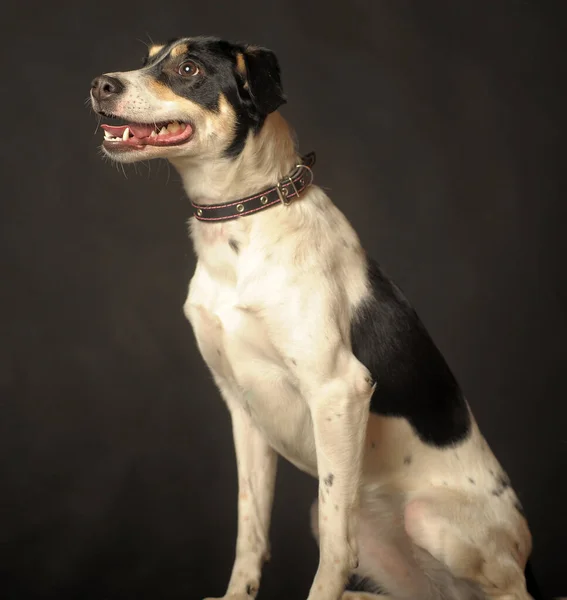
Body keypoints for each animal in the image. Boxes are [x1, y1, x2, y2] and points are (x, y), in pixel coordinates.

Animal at [91, 36, 544, 600]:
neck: (247, 216)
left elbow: (334, 546)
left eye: (188, 68)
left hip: (433, 521)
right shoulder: (242, 408)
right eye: (148, 57)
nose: (99, 85)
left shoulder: (339, 389)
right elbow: (250, 529)